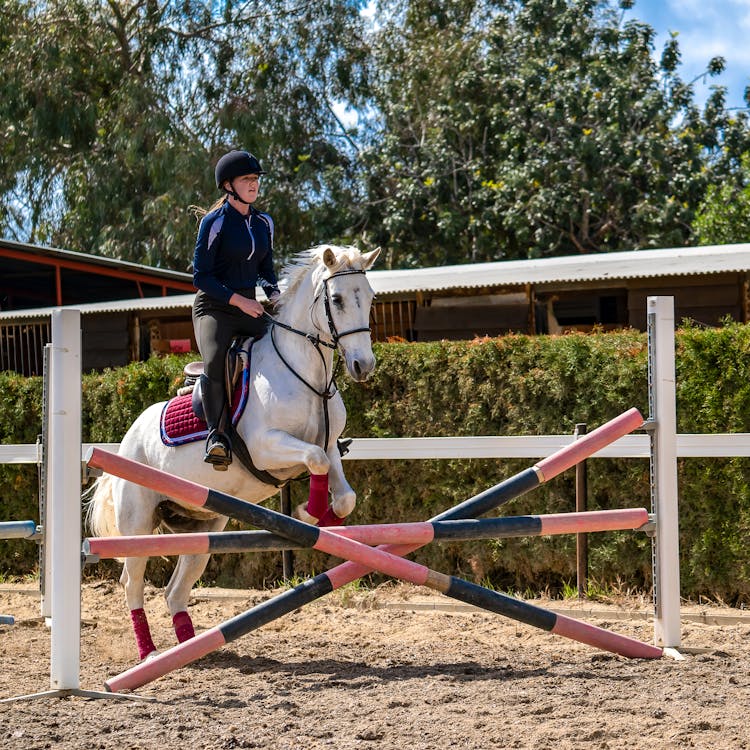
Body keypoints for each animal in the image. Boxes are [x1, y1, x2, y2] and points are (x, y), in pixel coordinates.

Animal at [88, 245, 382, 656]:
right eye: (336, 299)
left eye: (369, 298)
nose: (363, 365)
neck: (308, 376)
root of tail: (127, 439)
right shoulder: (265, 447)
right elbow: (314, 459)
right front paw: (307, 512)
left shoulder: (330, 447)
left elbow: (343, 493)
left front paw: (321, 517)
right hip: (138, 526)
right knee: (132, 583)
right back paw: (150, 652)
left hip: (205, 527)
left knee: (175, 590)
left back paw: (188, 648)